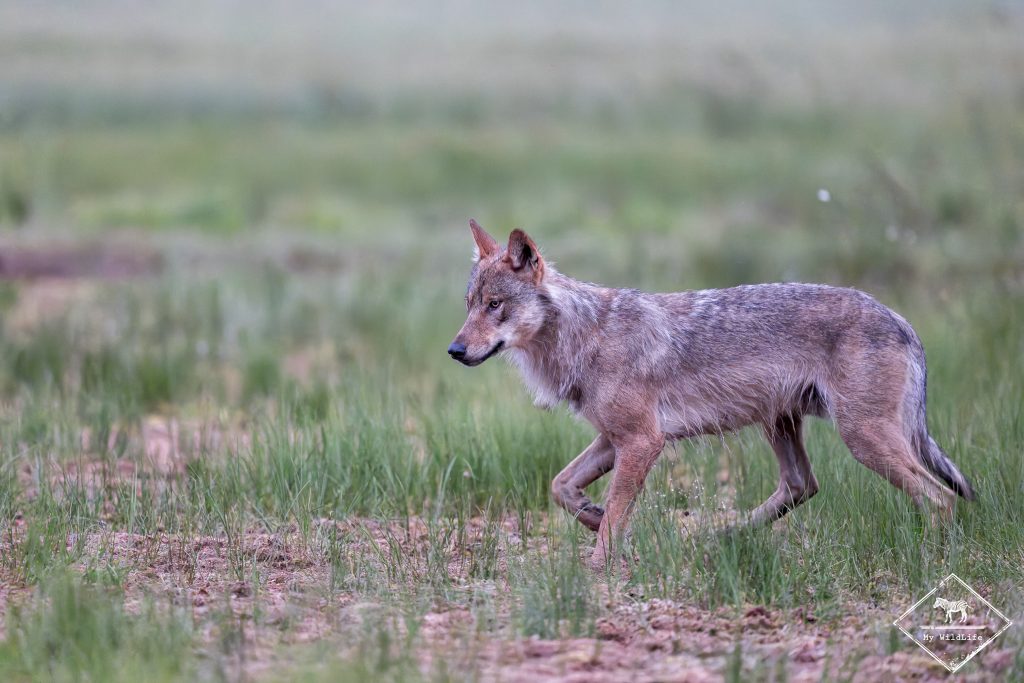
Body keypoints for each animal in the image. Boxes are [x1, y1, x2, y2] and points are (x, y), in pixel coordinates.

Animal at [448, 220, 975, 568]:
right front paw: (593, 518)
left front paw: (597, 566)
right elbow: (561, 486)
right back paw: (721, 537)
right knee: (802, 485)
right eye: (470, 305)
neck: (583, 336)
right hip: (781, 424)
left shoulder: (643, 441)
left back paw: (935, 563)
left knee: (940, 500)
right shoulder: (614, 439)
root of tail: (904, 322)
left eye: (495, 306)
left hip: (862, 438)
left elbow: (615, 512)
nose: (455, 350)